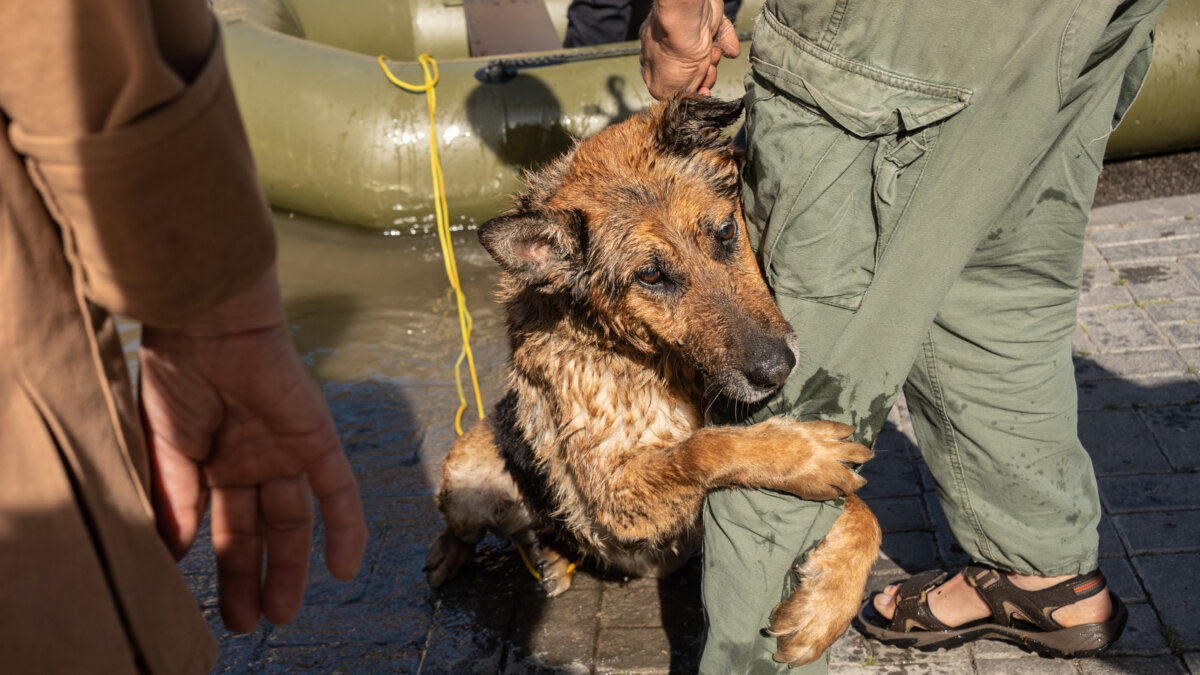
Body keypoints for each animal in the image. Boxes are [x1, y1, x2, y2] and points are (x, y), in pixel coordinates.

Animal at [427, 90, 878, 662]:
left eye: (726, 232)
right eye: (650, 275)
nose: (777, 369)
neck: (651, 357)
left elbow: (864, 513)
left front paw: (827, 606)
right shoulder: (612, 497)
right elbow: (704, 449)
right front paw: (797, 454)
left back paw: (551, 557)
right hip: (468, 473)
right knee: (468, 528)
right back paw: (459, 556)